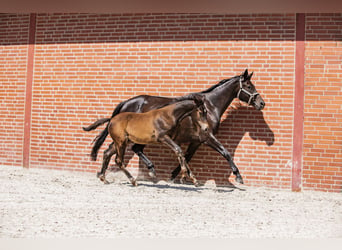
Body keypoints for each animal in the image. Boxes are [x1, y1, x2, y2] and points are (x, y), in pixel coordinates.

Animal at [83, 69, 264, 185]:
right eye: (249, 86)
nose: (261, 103)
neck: (210, 106)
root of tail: (125, 103)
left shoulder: (196, 141)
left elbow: (187, 156)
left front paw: (178, 176)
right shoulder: (206, 137)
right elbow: (225, 152)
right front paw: (238, 176)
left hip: (128, 138)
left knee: (111, 151)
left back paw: (103, 175)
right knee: (131, 150)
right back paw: (148, 171)